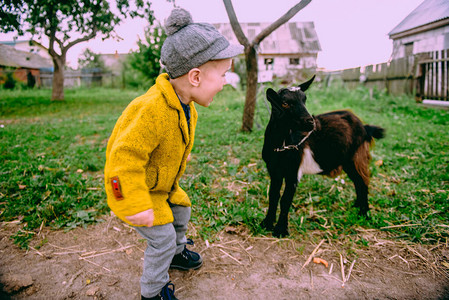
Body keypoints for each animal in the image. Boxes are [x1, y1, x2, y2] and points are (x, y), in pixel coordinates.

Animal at [260, 76, 384, 238]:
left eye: (304, 99)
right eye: (285, 103)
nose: (310, 122)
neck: (281, 145)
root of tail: (364, 126)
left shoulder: (293, 171)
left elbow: (285, 200)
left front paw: (280, 230)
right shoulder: (274, 170)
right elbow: (273, 196)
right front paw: (267, 223)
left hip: (354, 156)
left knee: (362, 182)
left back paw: (364, 213)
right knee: (358, 181)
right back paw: (357, 206)